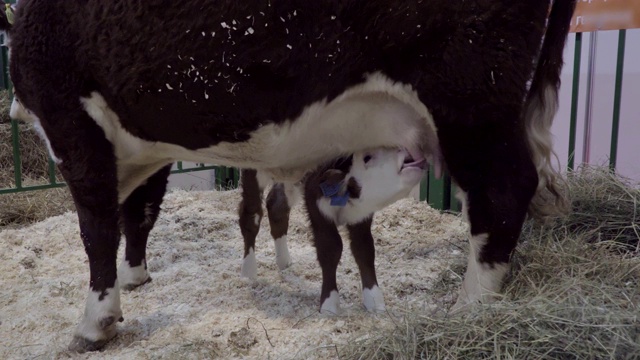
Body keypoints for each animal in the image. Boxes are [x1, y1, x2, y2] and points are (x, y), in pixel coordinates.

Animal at [238, 148, 428, 314]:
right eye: (367, 157)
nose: (408, 152)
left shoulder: (362, 214)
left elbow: (364, 249)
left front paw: (374, 300)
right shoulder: (315, 198)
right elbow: (330, 248)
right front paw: (330, 304)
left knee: (276, 205)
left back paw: (283, 260)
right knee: (251, 215)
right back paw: (248, 271)